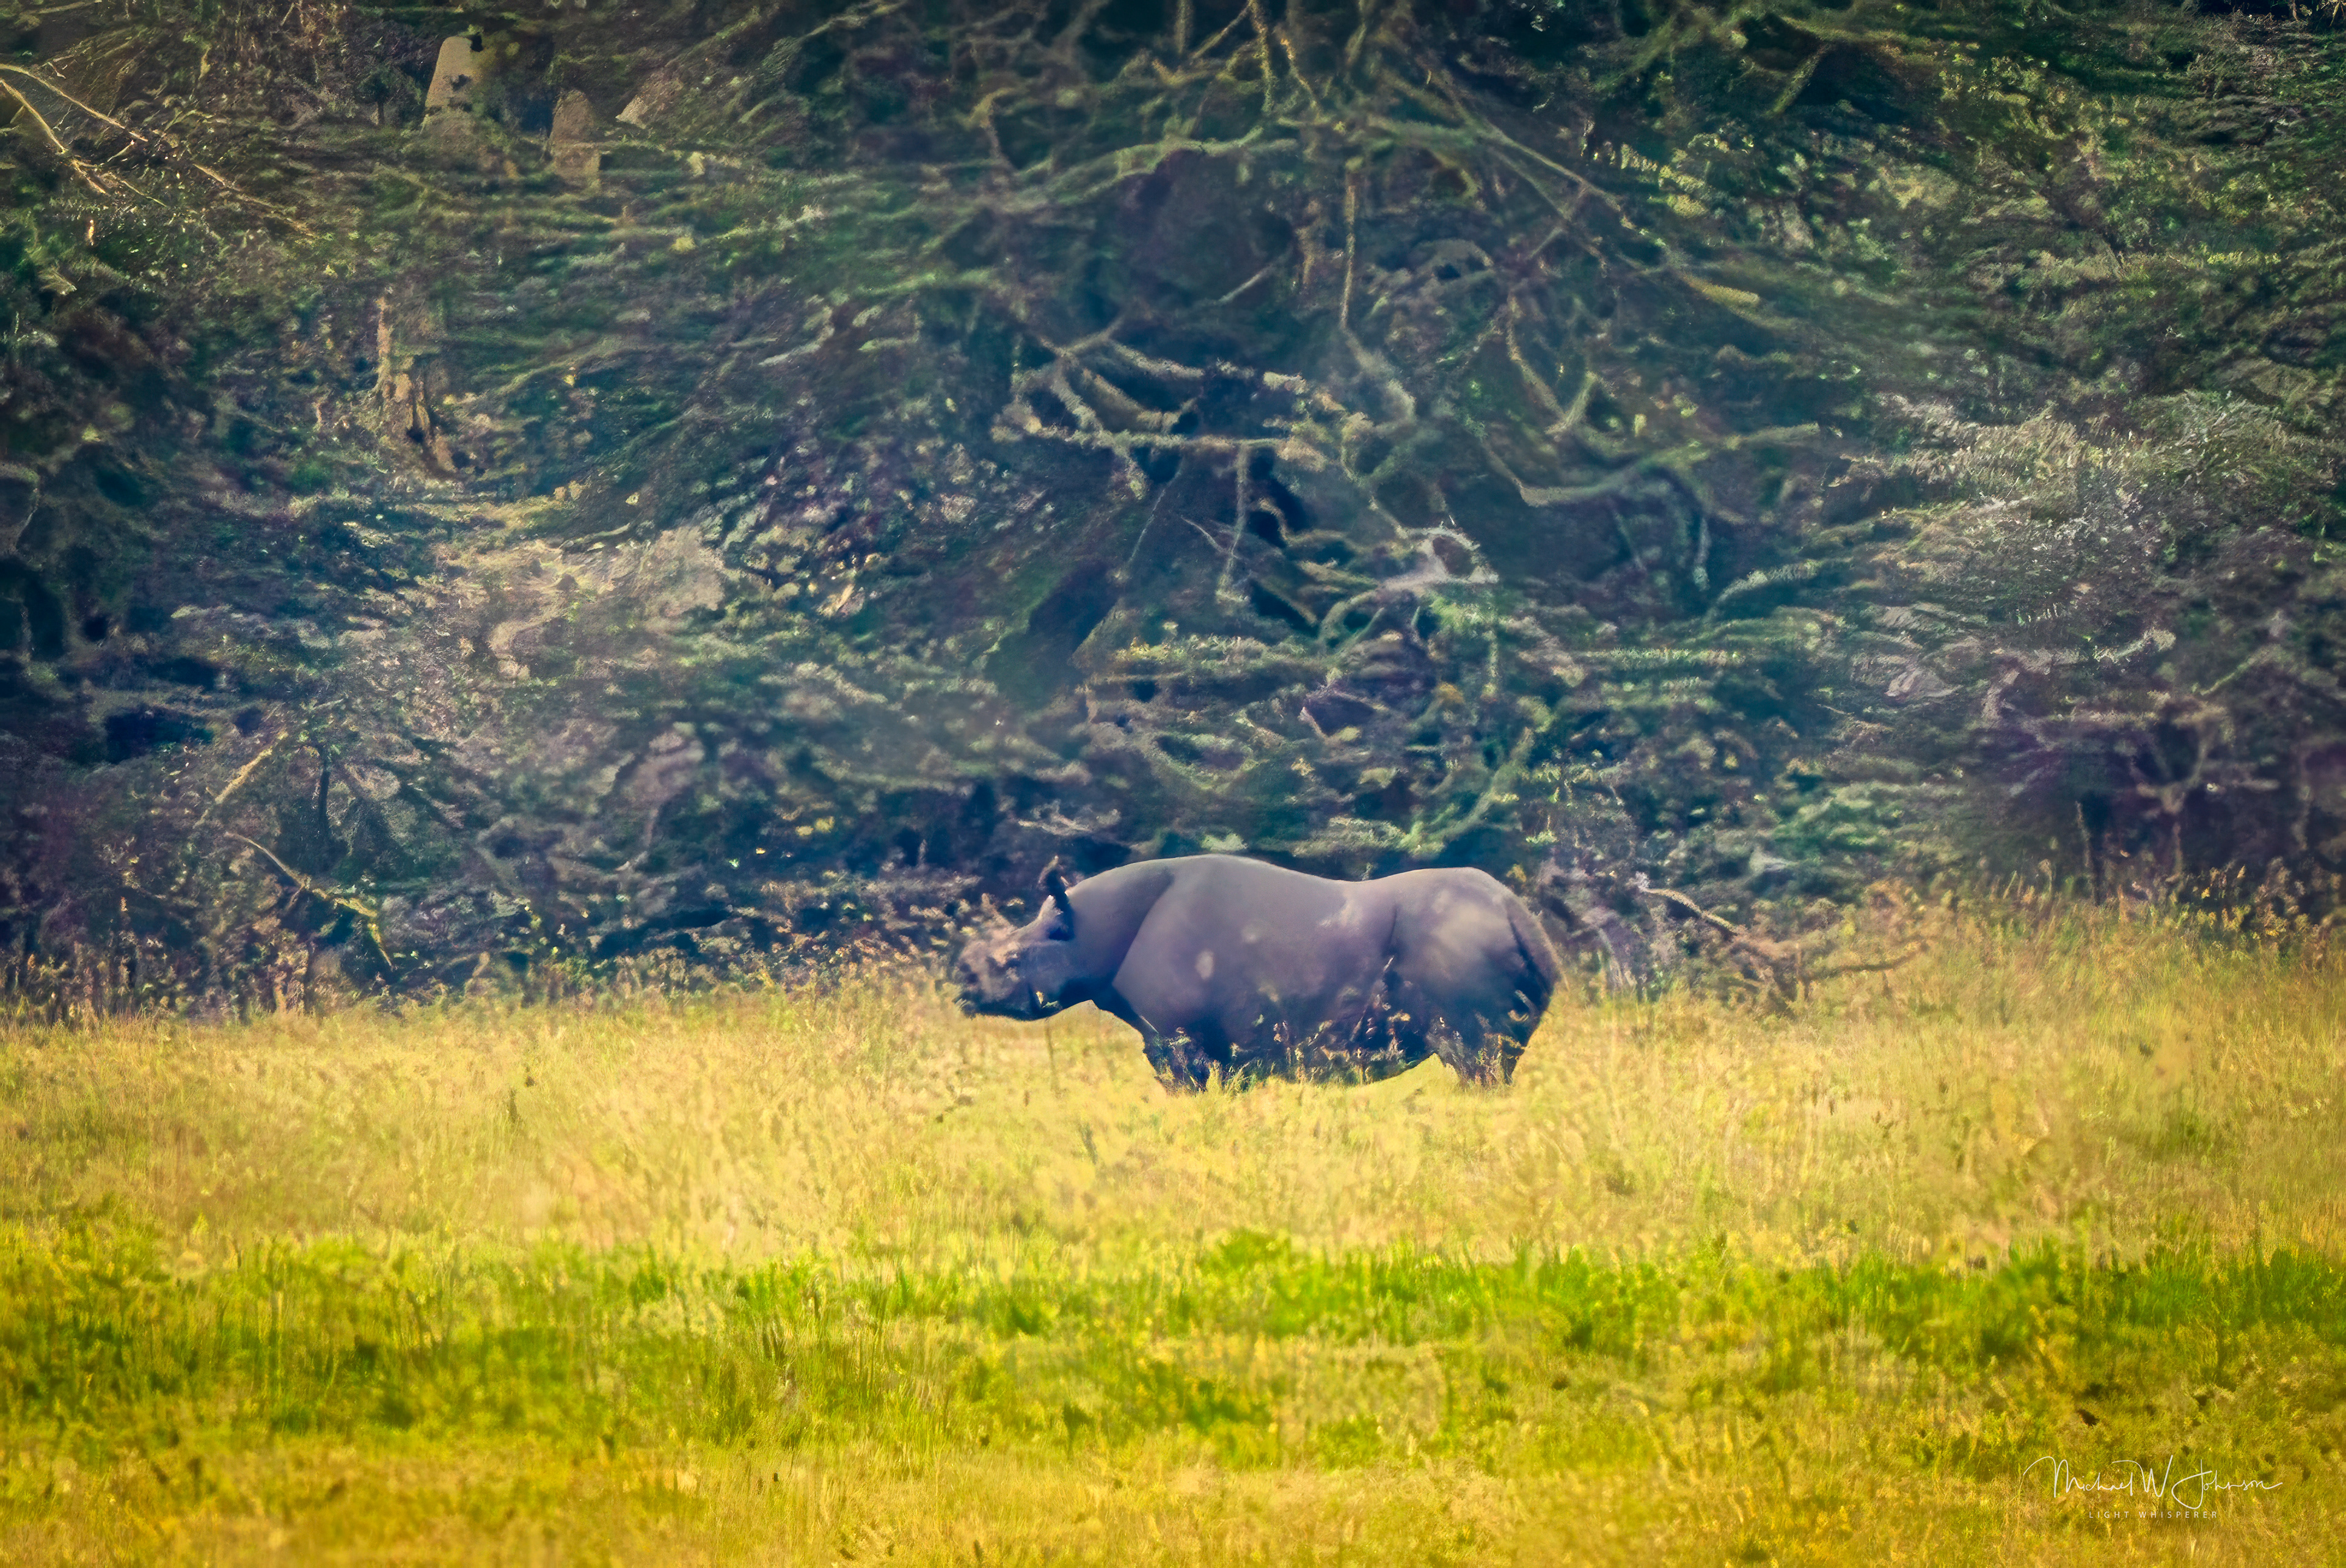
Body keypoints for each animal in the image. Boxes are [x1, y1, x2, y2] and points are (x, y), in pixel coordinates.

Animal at [954, 854, 1562, 1087]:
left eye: (1010, 961)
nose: (962, 982)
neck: (1091, 934)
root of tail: (1520, 917)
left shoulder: (1178, 1042)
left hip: (1459, 947)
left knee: (1476, 1062)